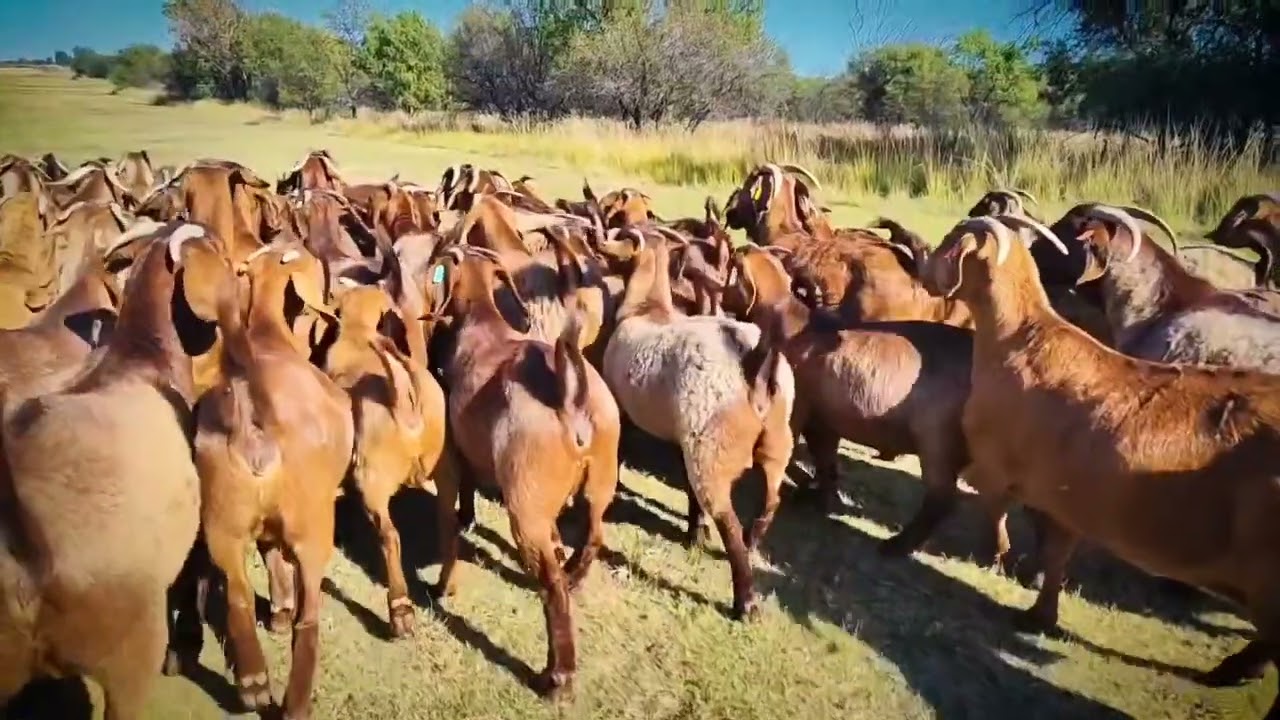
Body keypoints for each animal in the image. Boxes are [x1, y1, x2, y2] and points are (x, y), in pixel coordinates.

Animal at [424, 243, 620, 698]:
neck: (481, 319)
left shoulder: (452, 458)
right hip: (598, 485)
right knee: (592, 537)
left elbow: (450, 520)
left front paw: (444, 586)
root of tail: (571, 399)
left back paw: (557, 678)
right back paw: (573, 574)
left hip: (524, 509)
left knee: (552, 590)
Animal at [599, 227, 793, 620]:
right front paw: (695, 529)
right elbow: (688, 490)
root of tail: (756, 364)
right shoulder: (682, 434)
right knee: (769, 501)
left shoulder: (627, 408)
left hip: (713, 448)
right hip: (773, 443)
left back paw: (745, 602)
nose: (600, 252)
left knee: (727, 518)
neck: (647, 308)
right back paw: (750, 541)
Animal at [919, 213, 1280, 719]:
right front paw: (1039, 610)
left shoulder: (997, 466)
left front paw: (999, 559)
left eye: (952, 243)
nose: (924, 268)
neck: (1023, 340)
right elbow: (1057, 552)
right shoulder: (1066, 497)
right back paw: (1231, 671)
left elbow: (999, 514)